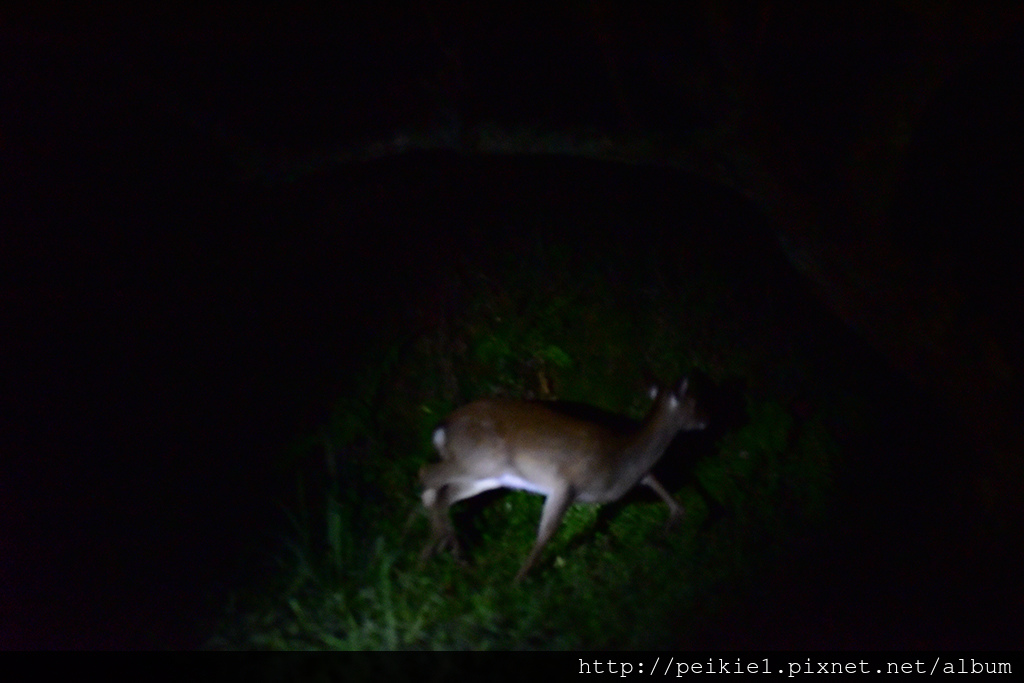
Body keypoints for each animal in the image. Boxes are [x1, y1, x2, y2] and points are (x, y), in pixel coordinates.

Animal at [417, 378, 704, 581]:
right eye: (693, 403)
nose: (707, 419)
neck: (620, 459)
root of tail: (441, 428)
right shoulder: (565, 484)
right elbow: (547, 532)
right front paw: (519, 580)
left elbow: (652, 478)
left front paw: (677, 516)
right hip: (476, 462)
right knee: (427, 475)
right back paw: (440, 549)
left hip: (487, 476)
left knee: (443, 493)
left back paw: (442, 551)